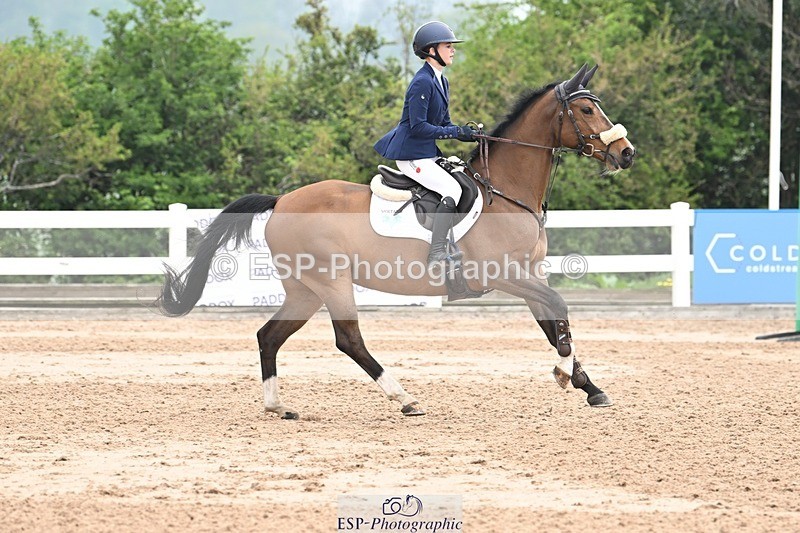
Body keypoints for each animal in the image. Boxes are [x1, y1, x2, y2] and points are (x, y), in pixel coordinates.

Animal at [157, 64, 636, 419]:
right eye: (587, 111)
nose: (626, 153)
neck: (507, 190)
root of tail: (282, 199)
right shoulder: (503, 275)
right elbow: (559, 308)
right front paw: (564, 374)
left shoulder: (529, 274)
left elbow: (554, 324)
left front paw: (588, 386)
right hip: (331, 281)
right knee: (348, 340)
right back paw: (404, 398)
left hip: (304, 289)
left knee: (269, 335)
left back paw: (278, 406)